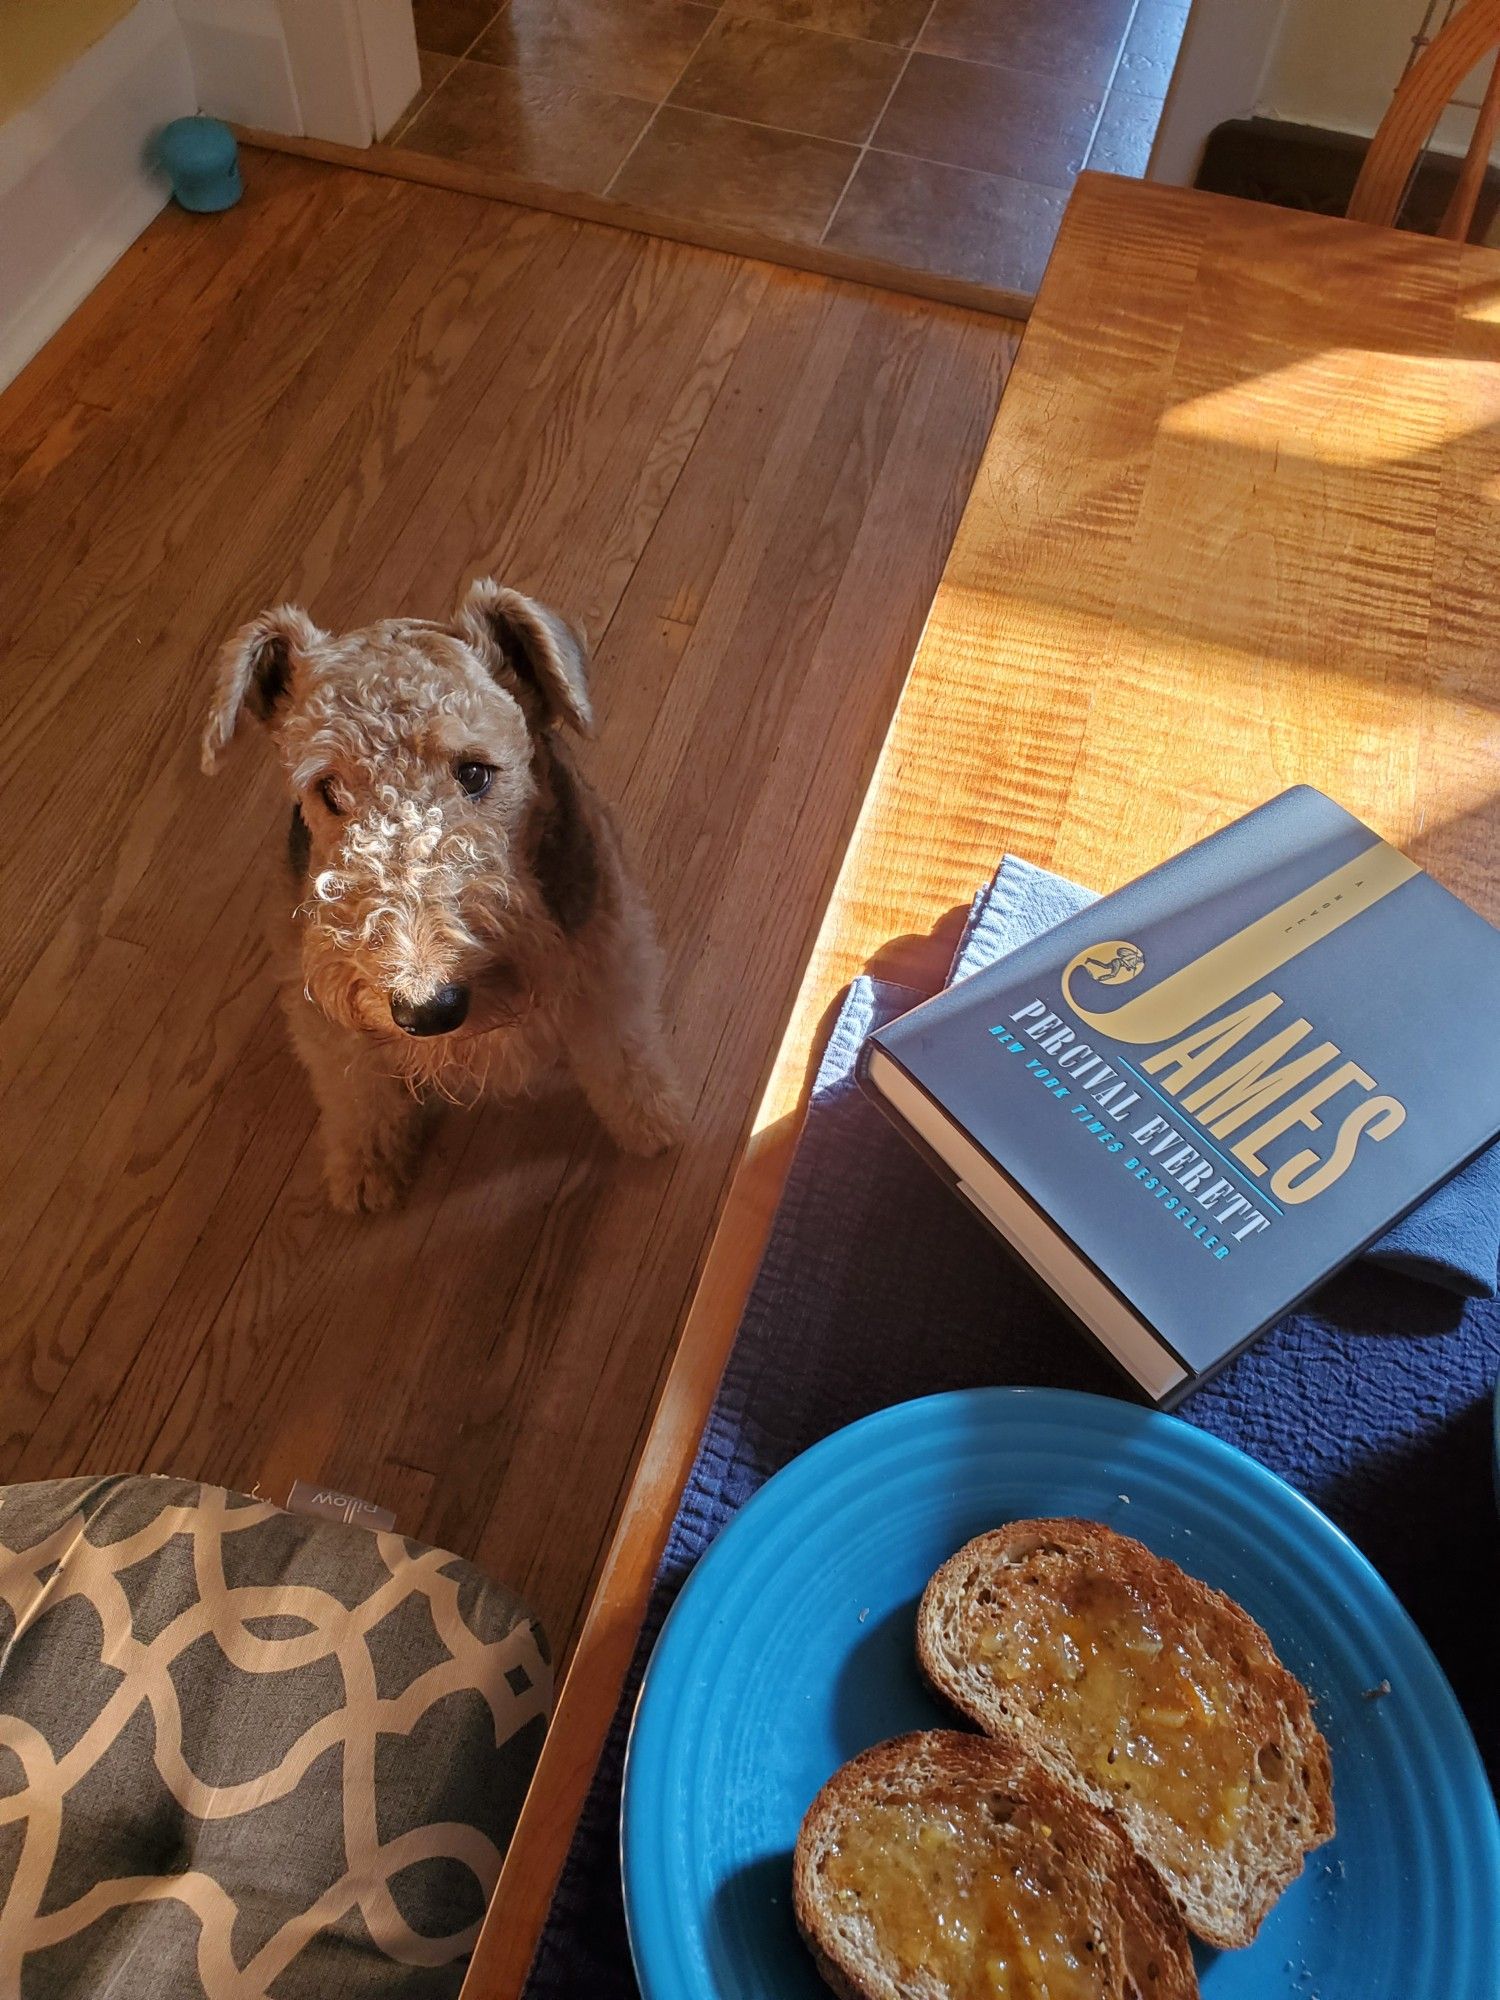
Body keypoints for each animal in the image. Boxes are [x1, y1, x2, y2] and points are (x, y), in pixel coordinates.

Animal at [203, 572, 684, 1208]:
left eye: (475, 772)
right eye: (329, 790)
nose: (427, 1009)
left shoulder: (609, 952)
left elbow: (622, 1049)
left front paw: (650, 1123)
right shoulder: (315, 1001)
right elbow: (355, 1085)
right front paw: (365, 1168)